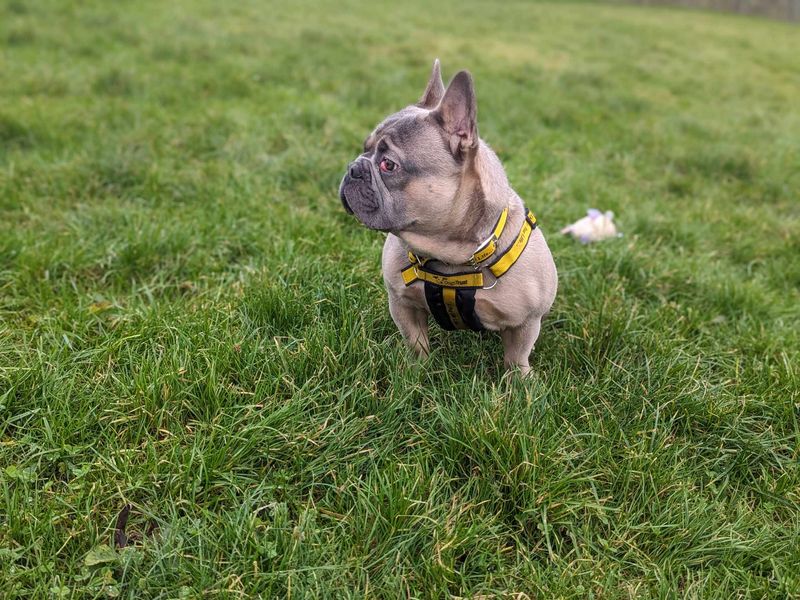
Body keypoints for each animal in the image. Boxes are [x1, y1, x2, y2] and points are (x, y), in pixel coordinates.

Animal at [340, 59, 556, 370]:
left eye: (388, 165)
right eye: (364, 148)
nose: (353, 168)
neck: (450, 257)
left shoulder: (525, 322)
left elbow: (517, 356)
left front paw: (520, 380)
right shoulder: (402, 303)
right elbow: (415, 340)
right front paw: (417, 369)